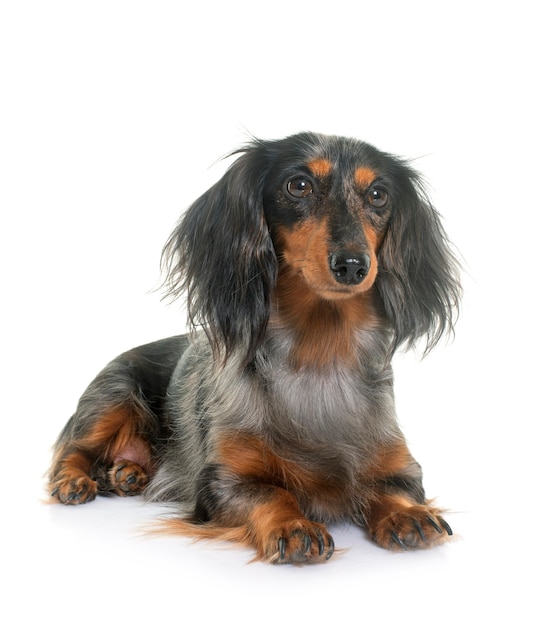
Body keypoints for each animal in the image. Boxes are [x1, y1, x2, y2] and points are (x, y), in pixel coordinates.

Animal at [48, 132, 458, 560]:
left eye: (378, 194)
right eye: (299, 185)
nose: (352, 265)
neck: (319, 353)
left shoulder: (399, 464)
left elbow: (396, 489)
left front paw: (408, 514)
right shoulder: (223, 480)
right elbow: (271, 494)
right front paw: (294, 525)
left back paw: (127, 472)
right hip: (112, 396)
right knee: (73, 449)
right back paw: (73, 480)